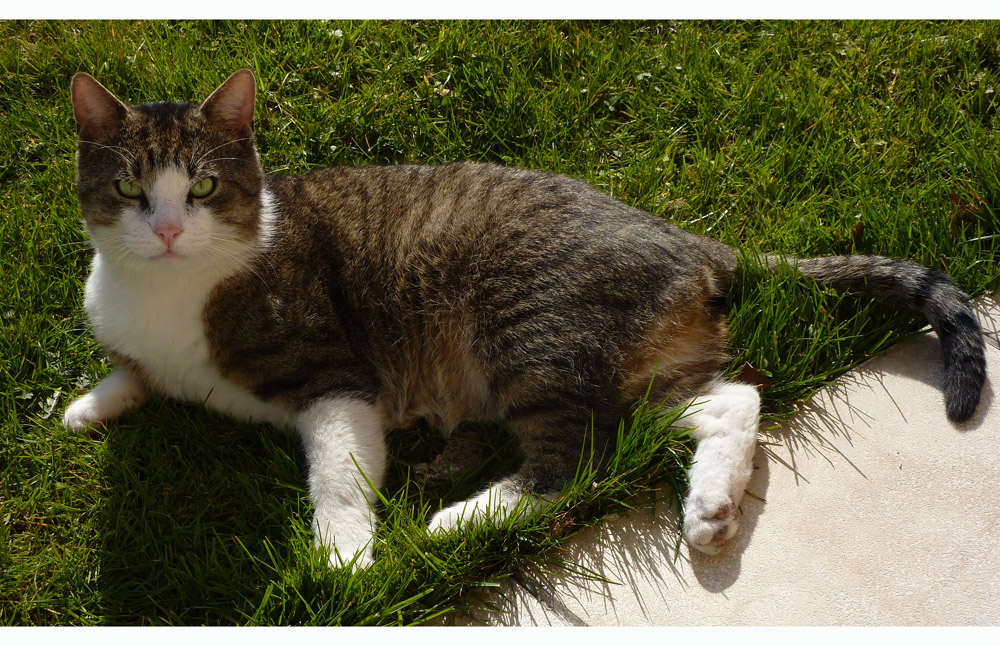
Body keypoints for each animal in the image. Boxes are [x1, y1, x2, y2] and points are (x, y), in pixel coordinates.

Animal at [60, 68, 984, 568]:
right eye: (130, 189)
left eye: (204, 187)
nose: (167, 229)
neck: (169, 294)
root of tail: (691, 239)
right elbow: (129, 368)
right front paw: (88, 404)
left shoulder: (337, 377)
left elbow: (339, 475)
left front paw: (346, 555)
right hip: (637, 365)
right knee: (727, 399)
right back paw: (713, 509)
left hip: (529, 333)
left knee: (574, 462)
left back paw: (458, 519)